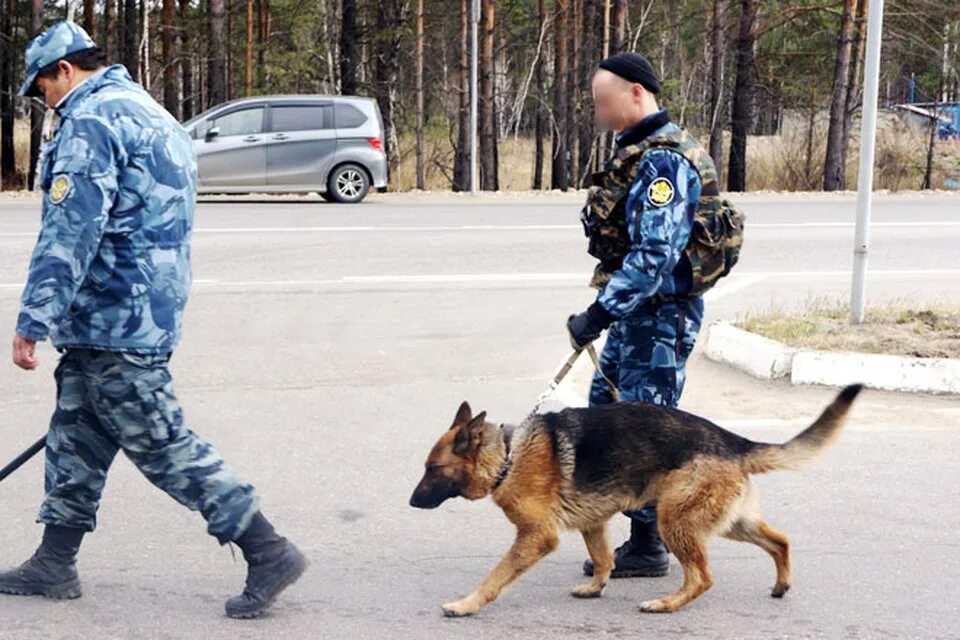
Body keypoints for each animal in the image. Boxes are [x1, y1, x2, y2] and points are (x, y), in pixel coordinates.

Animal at [406, 384, 864, 616]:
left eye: (432, 469)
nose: (410, 503)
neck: (507, 456)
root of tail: (732, 442)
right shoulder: (592, 524)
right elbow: (603, 559)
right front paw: (596, 588)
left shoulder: (536, 537)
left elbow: (495, 576)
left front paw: (466, 604)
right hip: (730, 522)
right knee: (780, 540)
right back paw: (781, 584)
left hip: (673, 520)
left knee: (702, 577)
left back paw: (666, 603)